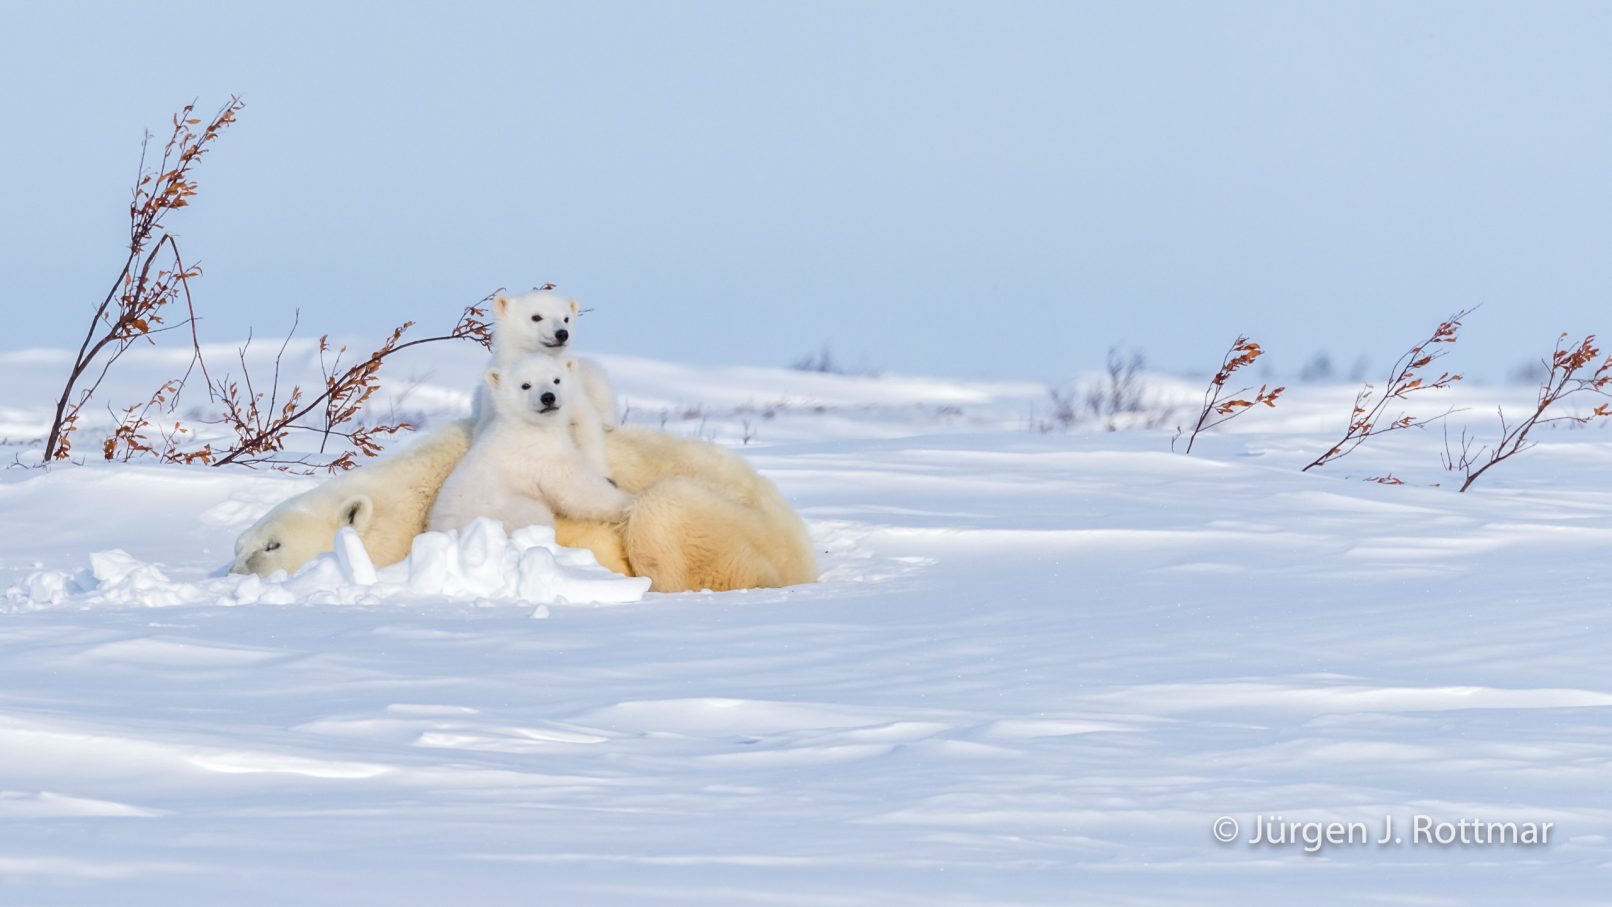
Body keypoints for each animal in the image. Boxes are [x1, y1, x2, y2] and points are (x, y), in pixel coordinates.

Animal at [429, 356, 633, 535]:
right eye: (525, 385)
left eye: (556, 380)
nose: (548, 397)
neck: (530, 428)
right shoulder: (540, 457)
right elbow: (576, 489)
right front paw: (628, 502)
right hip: (503, 510)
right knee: (535, 515)